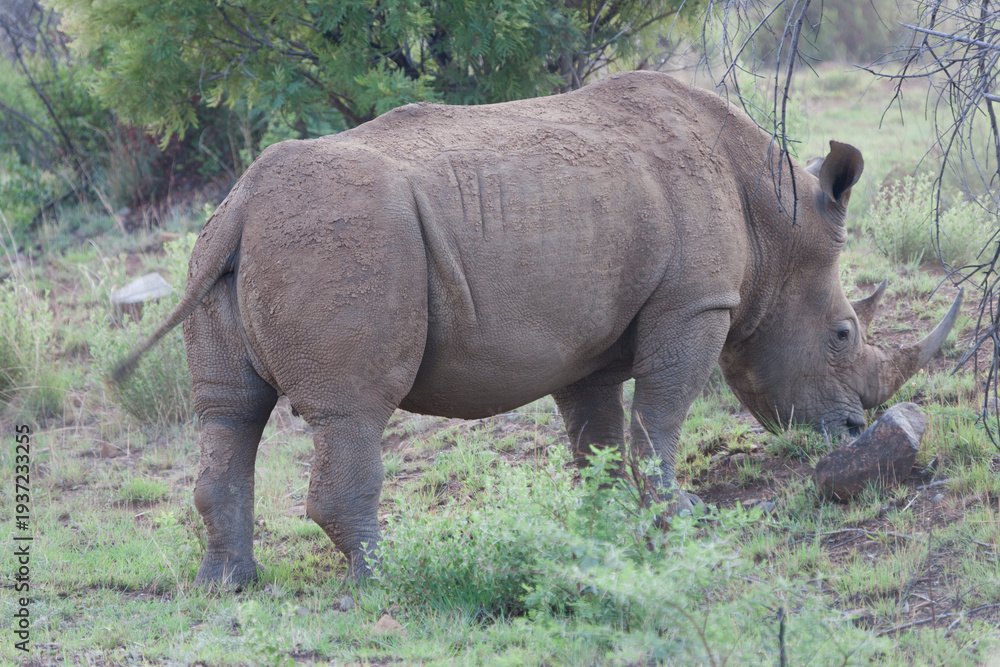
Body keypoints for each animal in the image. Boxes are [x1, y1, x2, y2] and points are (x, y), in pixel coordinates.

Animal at [114, 71, 961, 585]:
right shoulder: (695, 303)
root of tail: (245, 203)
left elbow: (595, 427)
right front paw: (681, 513)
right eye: (844, 333)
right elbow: (662, 411)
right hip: (344, 239)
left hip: (224, 247)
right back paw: (389, 576)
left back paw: (230, 585)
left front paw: (608, 513)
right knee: (351, 410)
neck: (776, 228)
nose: (852, 428)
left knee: (229, 414)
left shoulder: (593, 332)